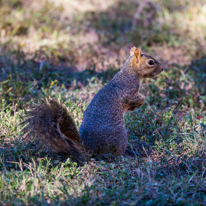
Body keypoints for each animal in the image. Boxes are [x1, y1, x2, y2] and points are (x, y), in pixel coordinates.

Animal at [20, 47, 163, 163]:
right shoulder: (128, 92)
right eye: (150, 62)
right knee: (115, 154)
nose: (162, 69)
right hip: (120, 137)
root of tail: (88, 148)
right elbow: (135, 98)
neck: (130, 73)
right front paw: (141, 101)